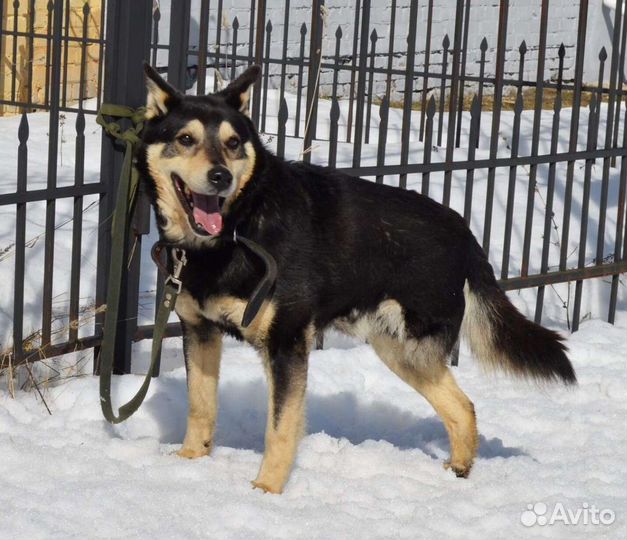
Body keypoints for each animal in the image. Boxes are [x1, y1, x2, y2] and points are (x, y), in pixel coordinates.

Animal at [139, 64, 580, 494]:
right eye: (186, 139)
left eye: (233, 143)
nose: (221, 177)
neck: (239, 226)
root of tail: (465, 233)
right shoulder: (199, 331)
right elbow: (200, 407)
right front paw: (190, 461)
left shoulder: (286, 343)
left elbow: (280, 429)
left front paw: (267, 490)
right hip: (398, 348)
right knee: (462, 405)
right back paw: (458, 471)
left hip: (411, 344)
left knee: (461, 403)